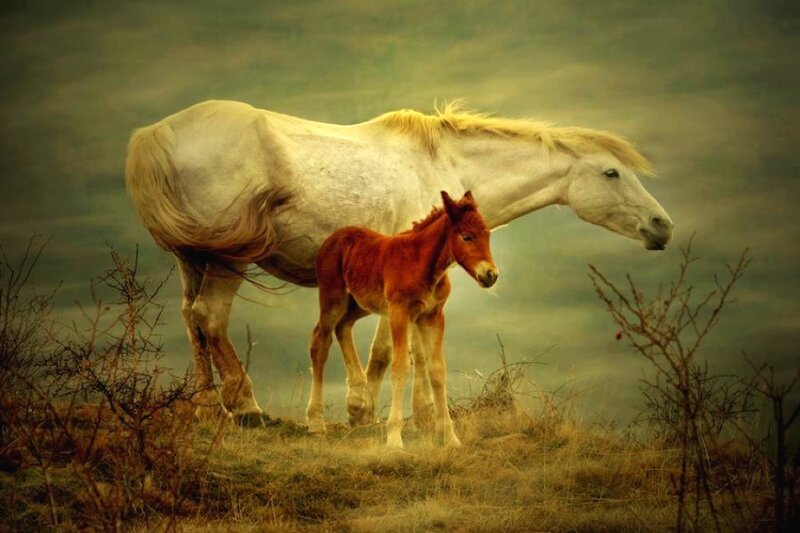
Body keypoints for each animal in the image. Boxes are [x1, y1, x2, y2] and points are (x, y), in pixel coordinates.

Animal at [307, 191, 496, 447]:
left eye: (487, 235)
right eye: (467, 237)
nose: (491, 275)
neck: (422, 264)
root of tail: (332, 239)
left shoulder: (432, 316)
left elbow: (437, 371)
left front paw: (450, 438)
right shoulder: (399, 312)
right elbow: (400, 368)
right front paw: (394, 439)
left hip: (360, 303)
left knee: (343, 327)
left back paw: (359, 399)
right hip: (333, 298)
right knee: (320, 341)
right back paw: (316, 423)